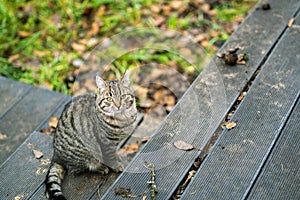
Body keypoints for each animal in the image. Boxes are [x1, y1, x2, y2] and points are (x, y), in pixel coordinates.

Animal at [45, 72, 137, 200]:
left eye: (122, 96)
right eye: (109, 99)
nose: (118, 105)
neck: (122, 119)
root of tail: (56, 155)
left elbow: (115, 153)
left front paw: (118, 158)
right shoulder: (106, 143)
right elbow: (110, 156)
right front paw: (116, 165)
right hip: (85, 153)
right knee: (78, 169)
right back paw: (100, 167)